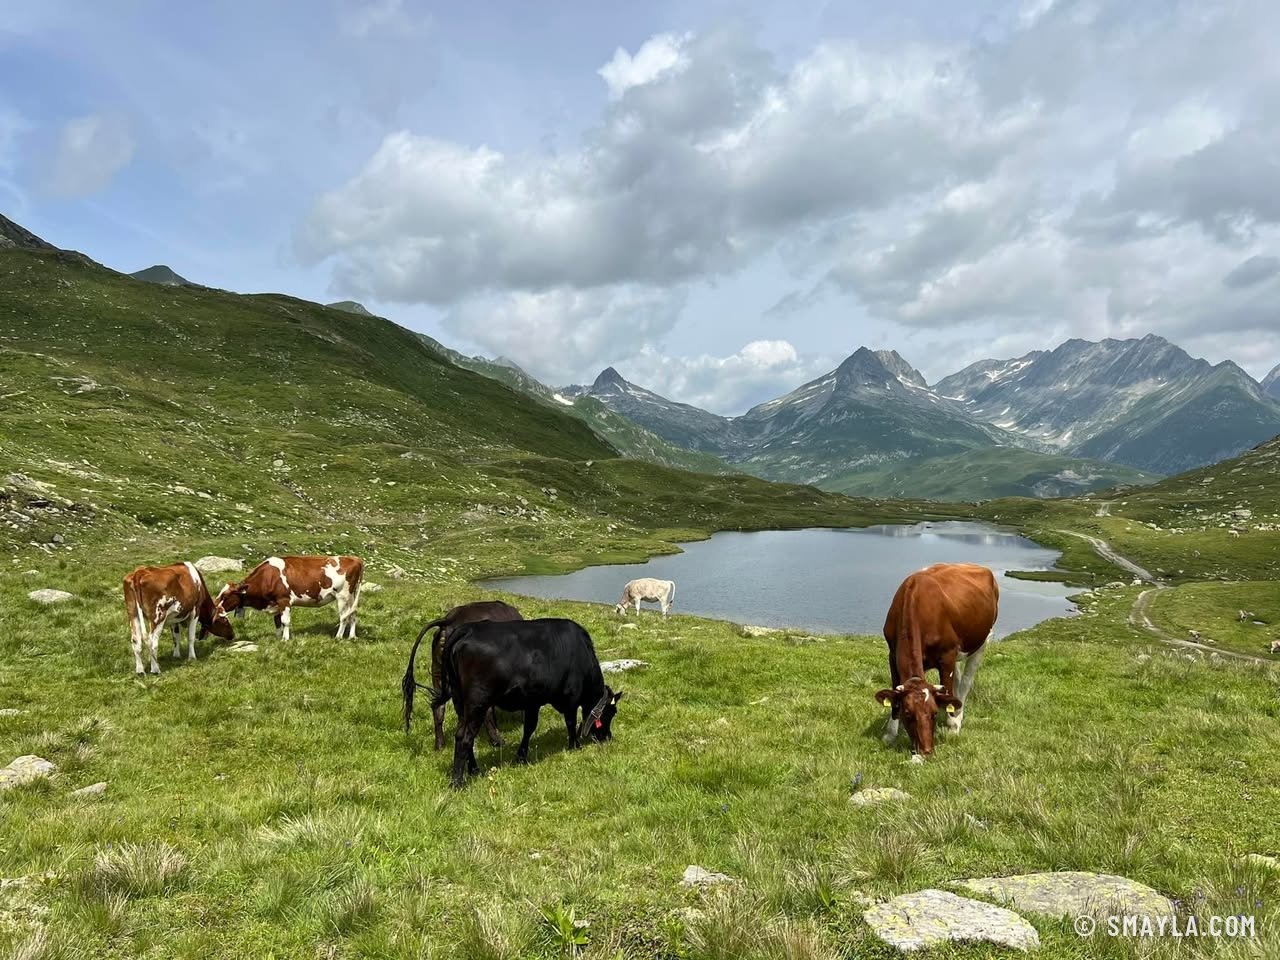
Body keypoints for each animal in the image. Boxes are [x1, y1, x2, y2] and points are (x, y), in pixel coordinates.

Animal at [216, 555, 363, 640]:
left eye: (225, 595)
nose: (216, 608)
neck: (268, 577)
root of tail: (355, 558)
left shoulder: (284, 600)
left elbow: (285, 621)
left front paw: (285, 639)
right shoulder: (276, 603)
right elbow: (277, 622)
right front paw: (277, 638)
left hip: (343, 596)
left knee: (344, 617)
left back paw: (338, 637)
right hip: (352, 596)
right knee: (353, 615)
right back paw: (352, 636)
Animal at [399, 599, 524, 749]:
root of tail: (449, 620)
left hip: (438, 673)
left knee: (438, 708)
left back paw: (440, 746)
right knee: (481, 712)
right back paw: (498, 742)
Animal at [432, 618, 623, 788]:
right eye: (611, 713)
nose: (608, 736)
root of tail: (468, 629)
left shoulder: (533, 701)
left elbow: (529, 727)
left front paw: (521, 757)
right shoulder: (571, 697)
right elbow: (570, 722)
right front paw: (574, 745)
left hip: (460, 702)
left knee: (461, 735)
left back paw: (474, 770)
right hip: (477, 702)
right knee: (465, 738)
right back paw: (457, 783)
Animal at [875, 563, 998, 760]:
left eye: (933, 714)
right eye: (907, 714)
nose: (926, 751)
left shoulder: (947, 655)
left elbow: (947, 687)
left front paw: (952, 725)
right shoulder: (892, 654)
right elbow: (894, 691)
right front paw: (890, 733)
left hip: (983, 641)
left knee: (965, 681)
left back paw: (958, 716)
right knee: (958, 679)